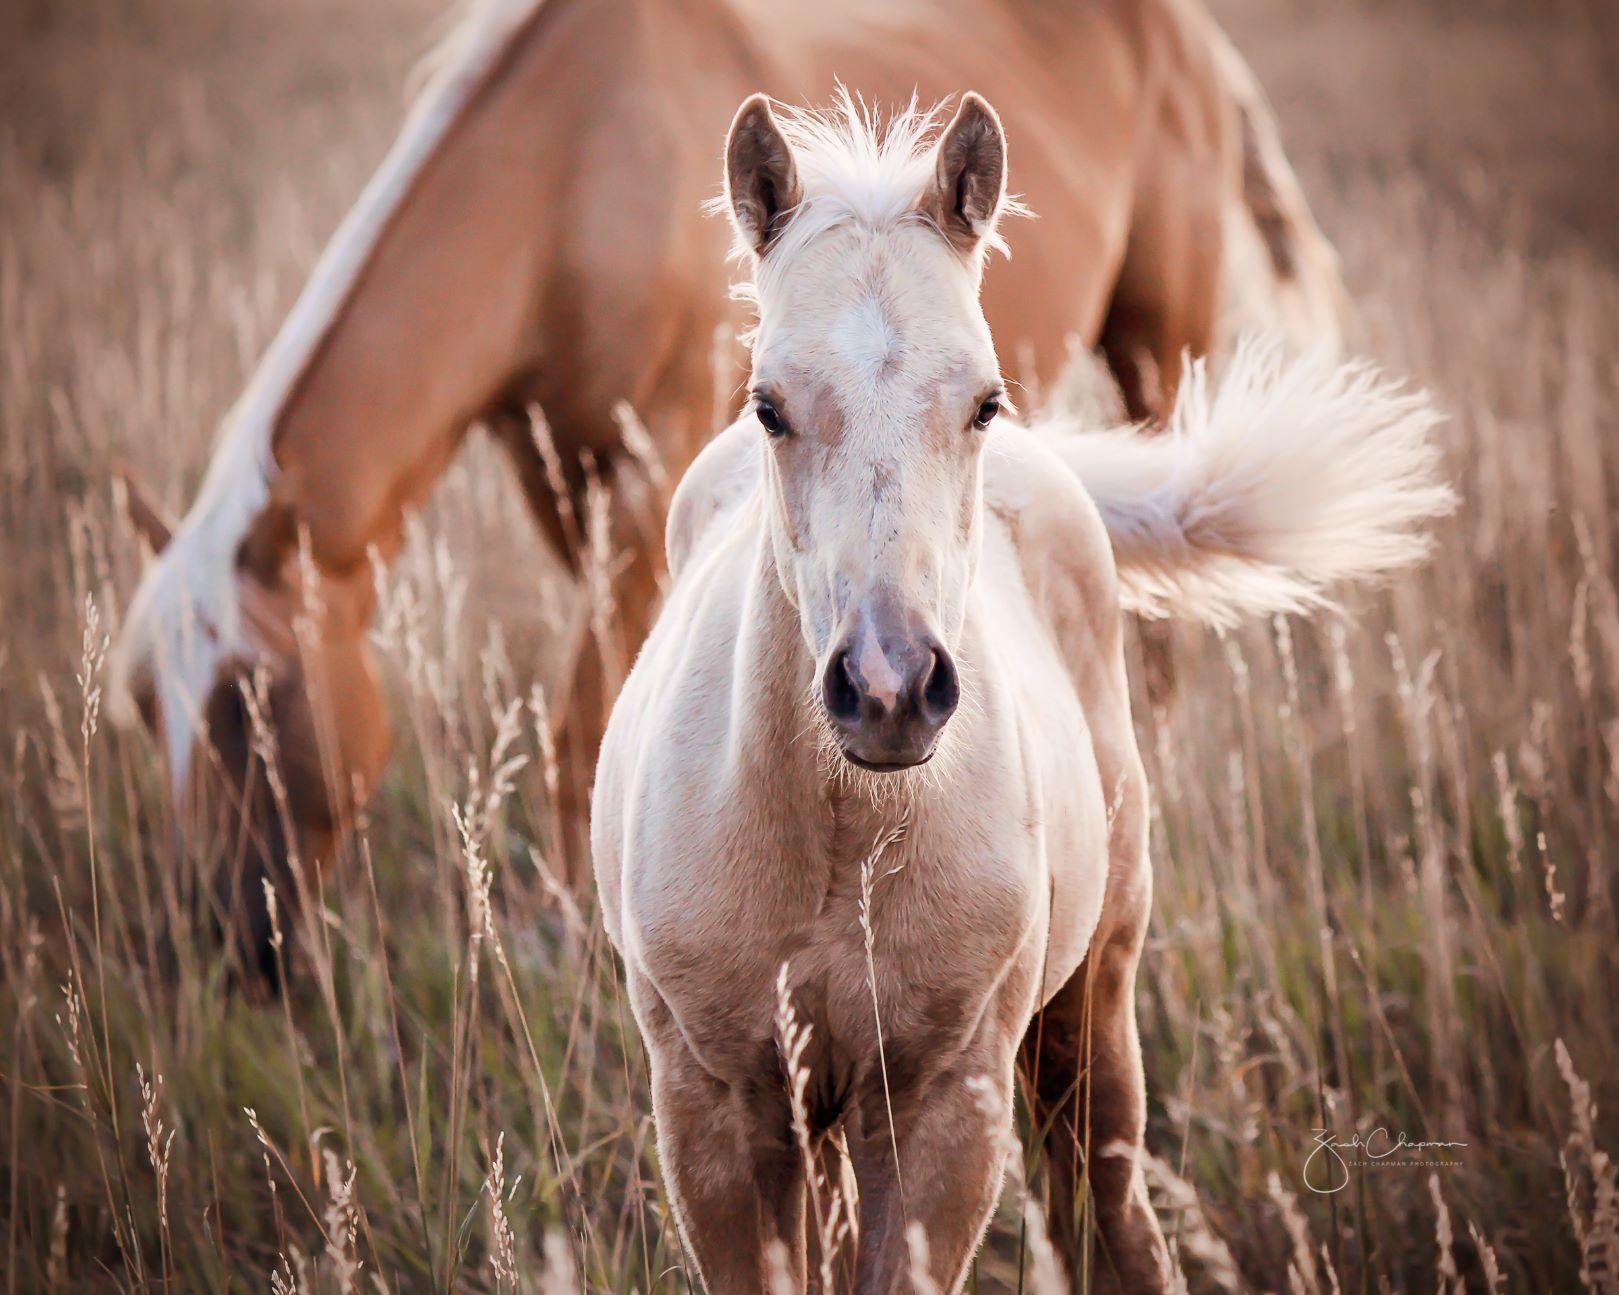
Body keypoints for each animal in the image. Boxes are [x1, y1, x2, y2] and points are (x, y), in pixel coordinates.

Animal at [104, 0, 1340, 964]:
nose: (222, 940)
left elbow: (575, 722)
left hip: (1159, 338)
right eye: (143, 705)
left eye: (251, 701)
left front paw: (570, 928)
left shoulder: (645, 466)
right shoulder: (564, 475)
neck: (573, 167)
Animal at [595, 96, 1457, 1288]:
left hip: (1091, 1004)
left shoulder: (943, 1111)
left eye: (981, 402)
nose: (888, 686)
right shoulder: (715, 1115)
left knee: (1108, 1205)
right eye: (767, 406)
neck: (841, 841)